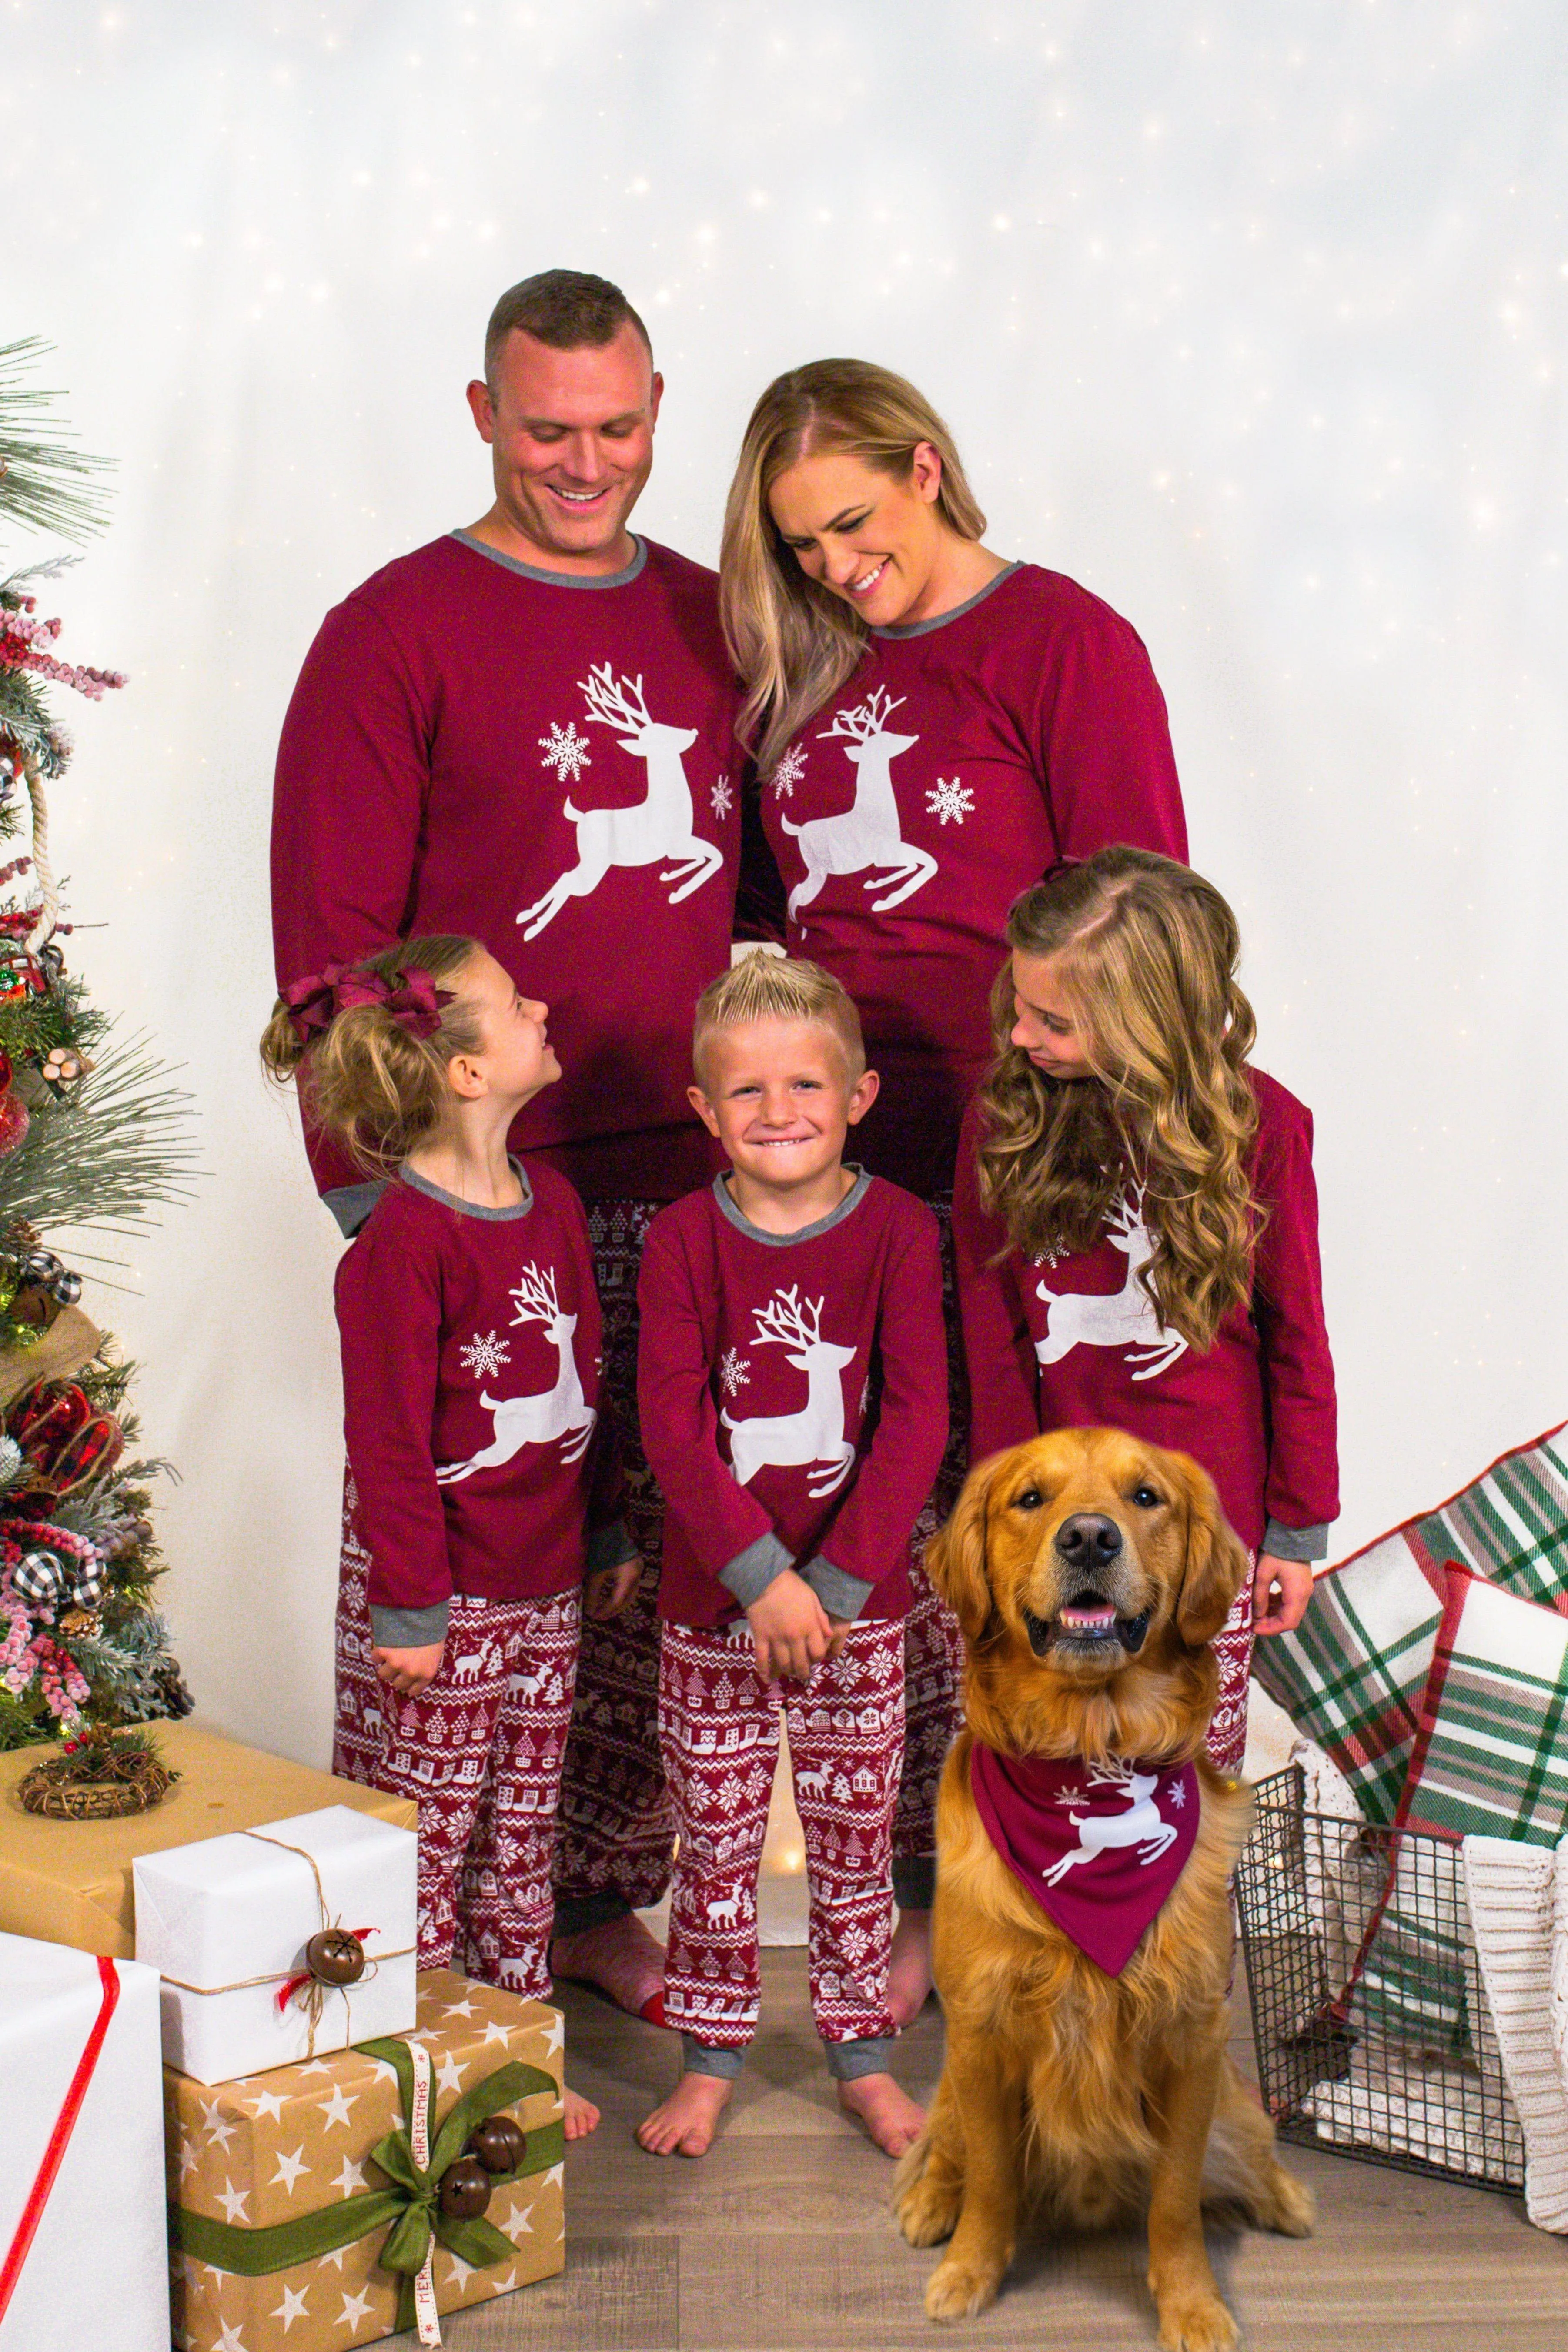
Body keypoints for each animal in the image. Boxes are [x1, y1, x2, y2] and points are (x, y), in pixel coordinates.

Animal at [893, 1420, 1316, 2342]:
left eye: (1146, 1495)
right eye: (1030, 1497)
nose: (1090, 1537)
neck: (1088, 1738)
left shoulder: (1192, 2036)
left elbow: (1175, 2198)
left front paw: (1192, 2302)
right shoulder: (980, 2029)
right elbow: (992, 2177)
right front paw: (970, 2267)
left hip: (1230, 2097)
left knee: (1249, 2139)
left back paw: (1287, 2195)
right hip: (951, 2074)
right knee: (945, 2137)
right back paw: (930, 2198)